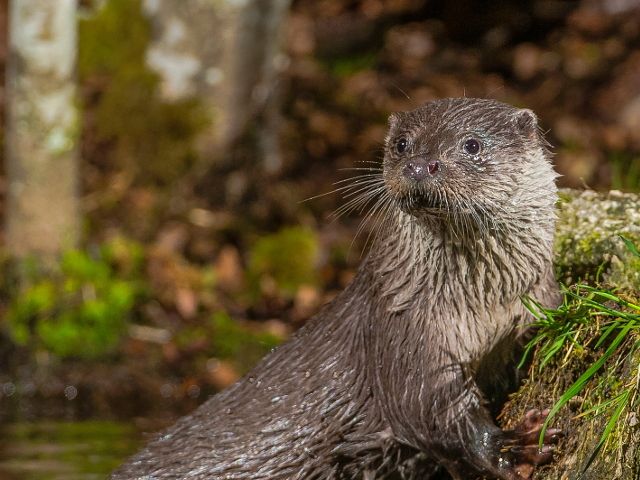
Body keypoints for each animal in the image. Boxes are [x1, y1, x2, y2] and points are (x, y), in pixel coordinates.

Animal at [114, 98, 560, 480]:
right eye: (402, 144)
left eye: (472, 144)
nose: (419, 165)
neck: (483, 306)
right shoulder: (403, 334)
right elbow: (430, 413)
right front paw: (511, 447)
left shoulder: (533, 305)